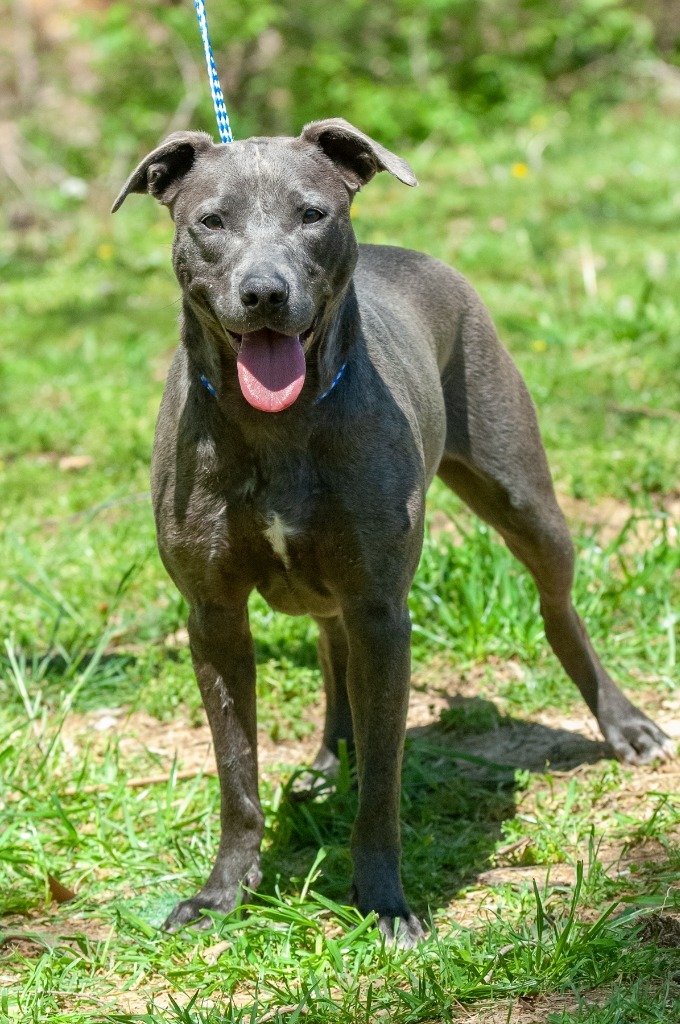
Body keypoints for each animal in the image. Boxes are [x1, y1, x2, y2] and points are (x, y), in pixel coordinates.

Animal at [114, 117, 671, 942]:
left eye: (312, 214)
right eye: (210, 221)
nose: (264, 292)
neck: (275, 424)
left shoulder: (383, 612)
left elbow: (383, 780)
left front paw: (383, 901)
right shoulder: (213, 616)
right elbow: (236, 772)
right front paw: (223, 894)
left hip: (523, 497)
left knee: (557, 606)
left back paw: (625, 723)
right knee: (330, 645)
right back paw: (327, 757)